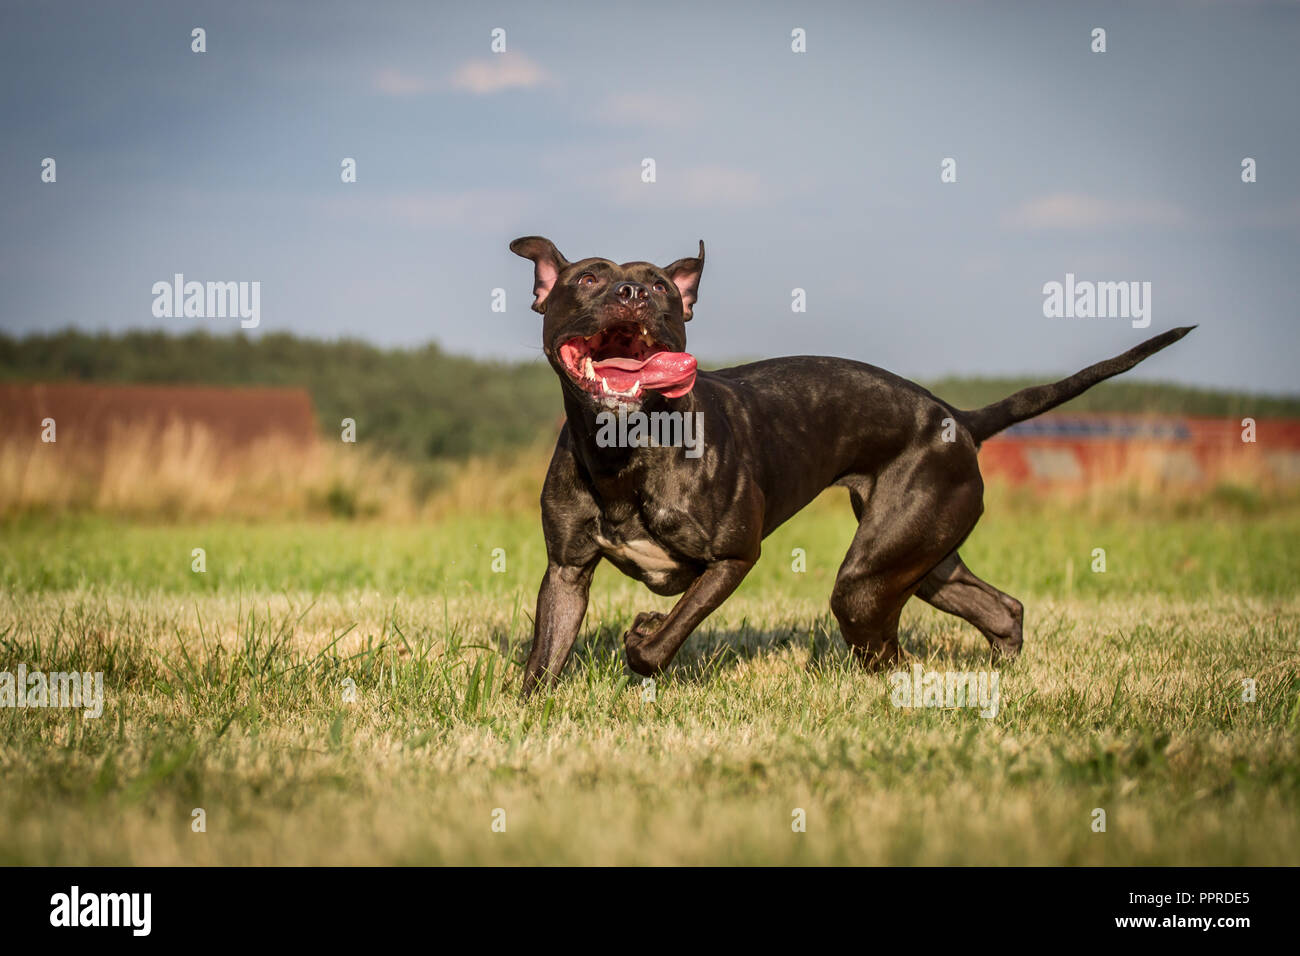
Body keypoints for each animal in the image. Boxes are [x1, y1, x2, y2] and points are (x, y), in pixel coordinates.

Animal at [509, 231, 1196, 697]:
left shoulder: (733, 557)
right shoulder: (566, 571)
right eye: (587, 279)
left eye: (657, 287)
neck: (623, 447)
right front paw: (533, 713)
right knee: (1000, 610)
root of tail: (958, 417)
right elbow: (546, 655)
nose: (630, 291)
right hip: (922, 557)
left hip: (866, 581)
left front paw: (644, 633)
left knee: (891, 653)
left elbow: (660, 641)